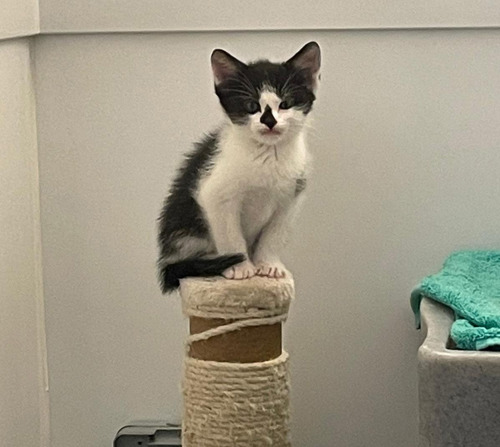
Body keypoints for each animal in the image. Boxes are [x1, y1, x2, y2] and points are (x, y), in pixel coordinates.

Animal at [156, 42, 320, 294]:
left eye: (285, 104)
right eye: (252, 105)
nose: (269, 121)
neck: (267, 156)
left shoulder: (291, 198)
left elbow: (275, 234)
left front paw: (269, 264)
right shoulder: (215, 196)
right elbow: (230, 235)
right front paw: (240, 268)